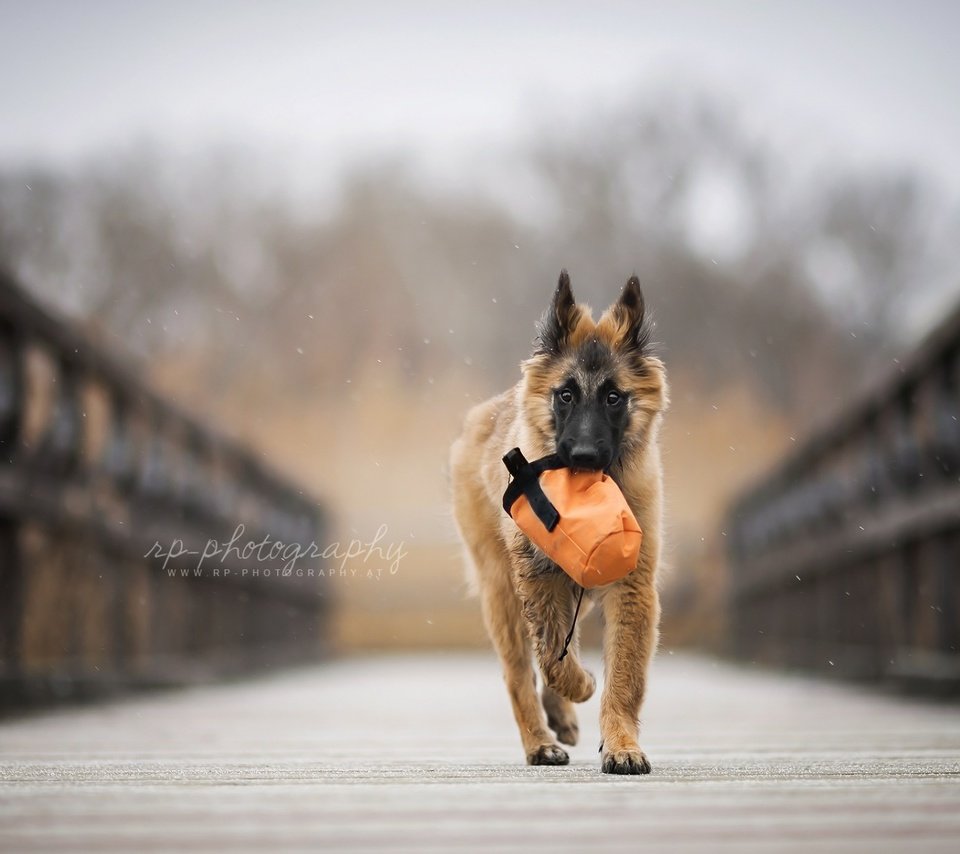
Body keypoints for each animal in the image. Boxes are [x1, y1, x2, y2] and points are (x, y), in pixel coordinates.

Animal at [450, 272, 668, 776]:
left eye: (613, 397)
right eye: (565, 394)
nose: (584, 457)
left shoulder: (631, 587)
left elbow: (623, 675)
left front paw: (622, 744)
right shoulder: (538, 578)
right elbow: (551, 657)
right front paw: (583, 685)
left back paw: (560, 718)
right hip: (501, 592)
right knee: (518, 672)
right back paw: (539, 742)